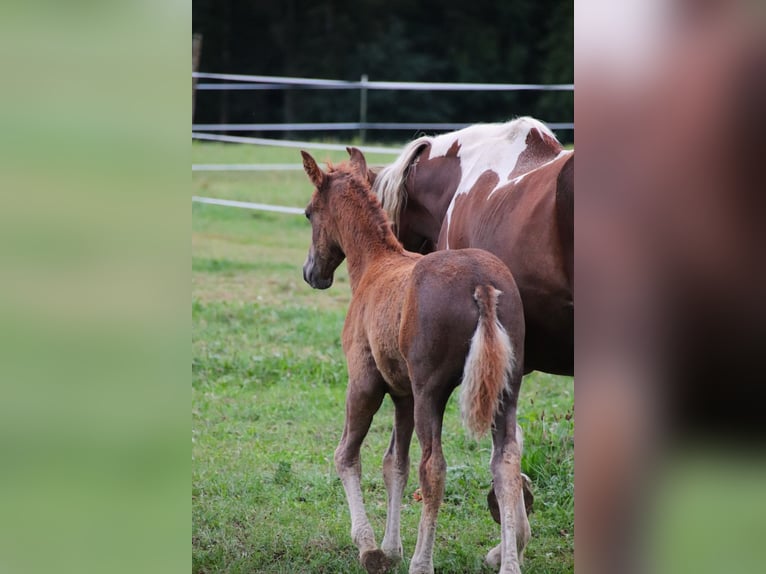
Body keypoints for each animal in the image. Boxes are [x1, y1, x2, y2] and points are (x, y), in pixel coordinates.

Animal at [300, 150, 528, 574]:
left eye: (308, 213)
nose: (311, 273)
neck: (374, 265)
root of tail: (481, 283)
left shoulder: (366, 383)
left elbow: (347, 455)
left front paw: (370, 547)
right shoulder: (402, 393)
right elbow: (395, 465)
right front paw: (391, 547)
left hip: (430, 393)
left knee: (433, 468)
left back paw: (423, 562)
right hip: (505, 390)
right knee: (505, 462)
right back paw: (509, 564)